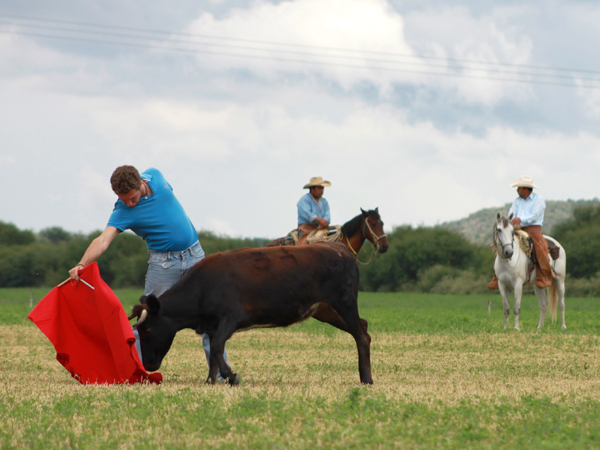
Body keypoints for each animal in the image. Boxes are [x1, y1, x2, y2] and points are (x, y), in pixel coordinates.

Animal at [129, 241, 372, 384]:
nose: (148, 365)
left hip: (344, 302)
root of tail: (340, 249)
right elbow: (213, 352)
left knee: (361, 336)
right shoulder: (212, 324)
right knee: (364, 328)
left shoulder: (232, 317)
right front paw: (210, 381)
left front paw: (231, 376)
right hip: (325, 309)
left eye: (147, 330)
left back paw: (367, 379)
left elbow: (217, 345)